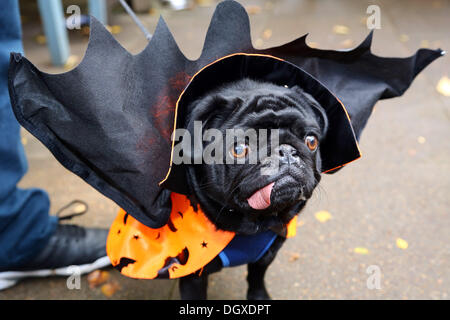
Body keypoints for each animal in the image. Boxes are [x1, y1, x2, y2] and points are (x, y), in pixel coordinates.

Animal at [157, 79, 326, 298]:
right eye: (238, 149)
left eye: (311, 141)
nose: (286, 151)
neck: (255, 224)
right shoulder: (194, 276)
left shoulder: (268, 254)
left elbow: (257, 276)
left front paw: (259, 295)